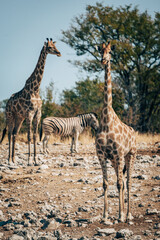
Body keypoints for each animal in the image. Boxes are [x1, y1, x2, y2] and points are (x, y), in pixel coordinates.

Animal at [0, 38, 61, 166]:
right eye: (50, 47)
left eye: (55, 46)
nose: (59, 53)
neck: (35, 89)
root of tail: (7, 103)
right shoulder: (29, 113)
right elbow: (28, 136)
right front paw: (29, 160)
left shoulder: (38, 113)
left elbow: (35, 136)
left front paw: (36, 160)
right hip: (10, 115)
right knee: (9, 133)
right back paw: (9, 160)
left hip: (19, 117)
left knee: (15, 133)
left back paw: (14, 159)